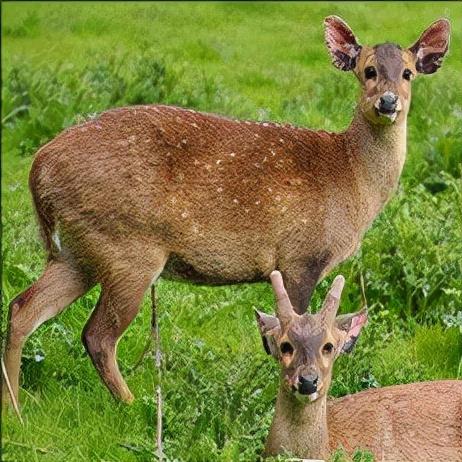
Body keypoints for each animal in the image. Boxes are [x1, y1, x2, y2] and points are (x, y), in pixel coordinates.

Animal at [2, 16, 452, 406]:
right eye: (368, 70)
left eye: (408, 73)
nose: (388, 102)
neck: (350, 179)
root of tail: (39, 166)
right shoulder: (300, 255)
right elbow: (295, 324)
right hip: (127, 245)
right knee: (96, 334)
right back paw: (133, 405)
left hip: (76, 250)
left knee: (23, 307)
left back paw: (16, 406)